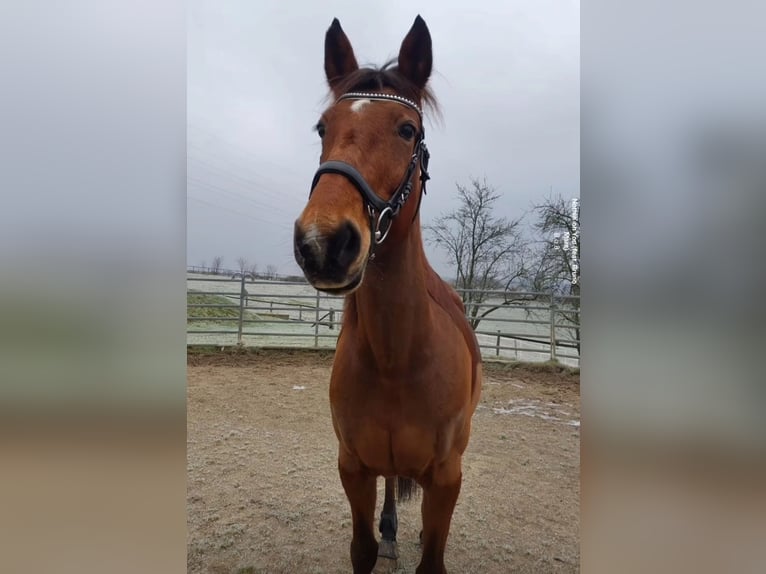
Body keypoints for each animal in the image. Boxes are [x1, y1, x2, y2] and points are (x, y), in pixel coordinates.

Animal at [292, 15, 480, 572]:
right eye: (322, 128)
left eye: (407, 130)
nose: (323, 243)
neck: (397, 359)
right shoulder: (353, 467)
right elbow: (363, 548)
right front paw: (383, 536)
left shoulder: (446, 477)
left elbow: (433, 559)